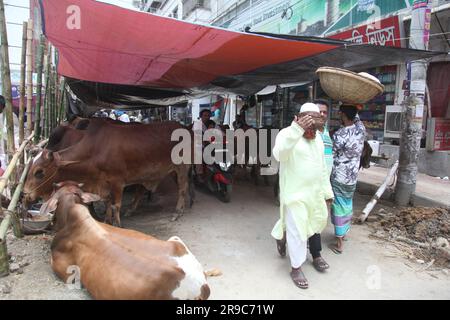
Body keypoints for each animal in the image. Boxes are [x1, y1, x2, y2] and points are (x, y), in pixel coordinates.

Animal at [25, 120, 190, 228]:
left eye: (39, 172)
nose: (25, 194)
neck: (94, 151)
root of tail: (185, 127)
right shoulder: (104, 183)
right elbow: (108, 202)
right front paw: (107, 221)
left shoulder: (117, 182)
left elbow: (116, 205)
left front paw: (117, 224)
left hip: (182, 168)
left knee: (183, 188)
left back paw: (178, 212)